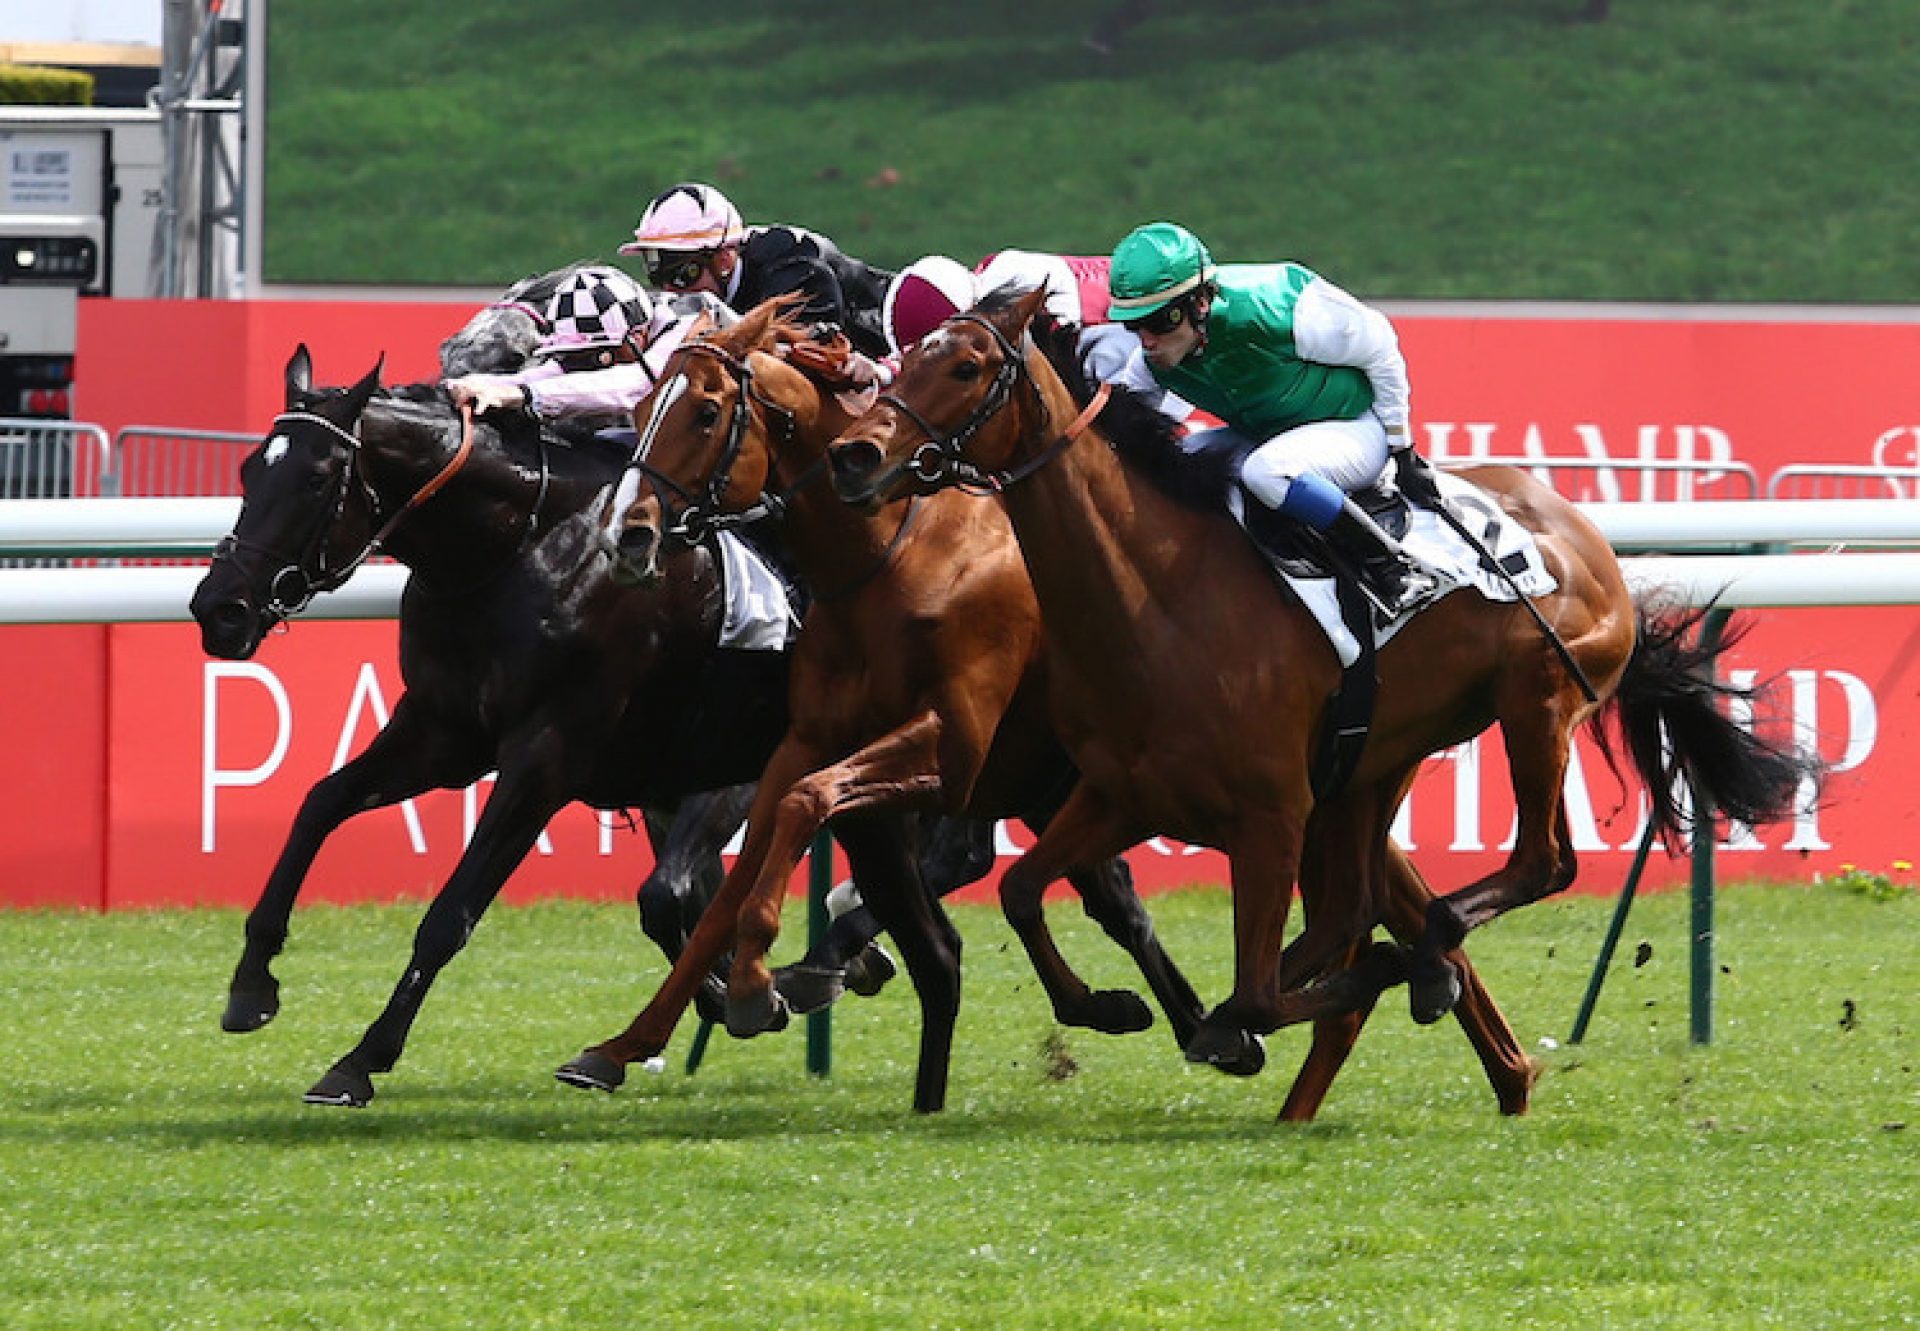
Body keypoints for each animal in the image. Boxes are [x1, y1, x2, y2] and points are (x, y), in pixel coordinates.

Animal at [560, 295, 1536, 1113]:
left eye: (703, 412)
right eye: (643, 411)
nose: (629, 534)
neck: (892, 559)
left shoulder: (946, 747)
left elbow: (804, 818)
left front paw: (763, 984)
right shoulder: (810, 740)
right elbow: (741, 870)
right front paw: (624, 1043)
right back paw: (1458, 1036)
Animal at [825, 286, 1812, 1083]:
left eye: (965, 364)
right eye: (905, 354)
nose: (855, 455)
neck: (1159, 596)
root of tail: (1581, 533)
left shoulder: (1269, 816)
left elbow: (1260, 990)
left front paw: (1251, 1015)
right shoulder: (1121, 793)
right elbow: (1027, 893)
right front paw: (1114, 1005)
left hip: (1535, 703)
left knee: (1541, 862)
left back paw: (1429, 953)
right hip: (1383, 756)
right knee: (1353, 910)